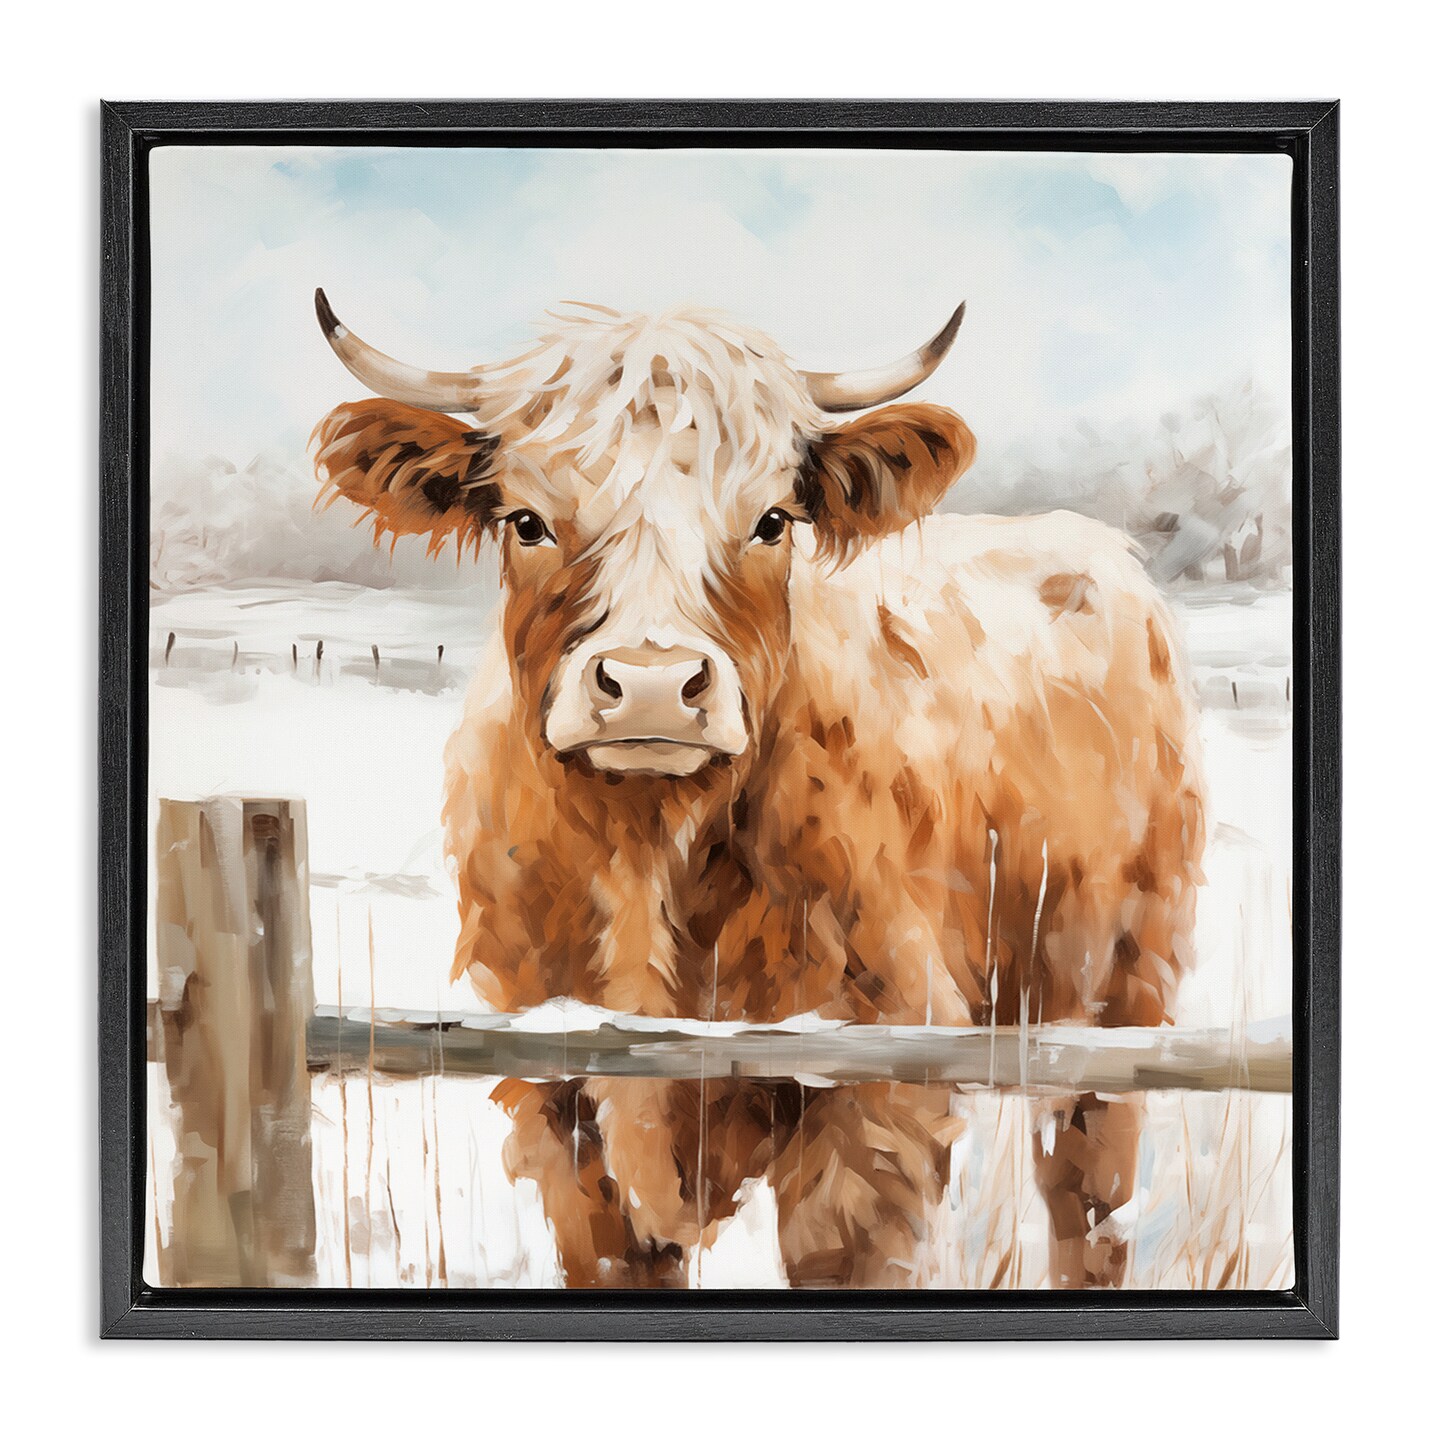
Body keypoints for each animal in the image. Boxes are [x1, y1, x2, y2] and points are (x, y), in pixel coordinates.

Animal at [310, 290, 1205, 1289]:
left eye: (773, 520)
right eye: (527, 521)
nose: (652, 683)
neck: (647, 861)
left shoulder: (878, 1089)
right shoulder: (556, 1107)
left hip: (1122, 988)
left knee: (1088, 1199)